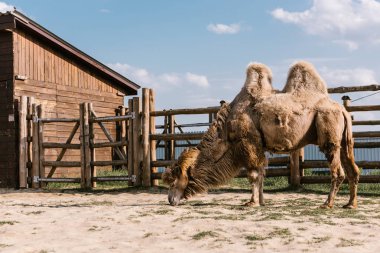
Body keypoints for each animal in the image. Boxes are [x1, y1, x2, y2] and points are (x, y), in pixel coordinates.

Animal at [163, 60, 360, 208]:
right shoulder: (259, 146)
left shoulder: (248, 143)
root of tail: (341, 109)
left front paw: (251, 202)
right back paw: (350, 204)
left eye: (173, 181)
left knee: (337, 171)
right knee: (353, 169)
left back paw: (327, 204)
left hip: (329, 131)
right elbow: (261, 173)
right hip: (344, 141)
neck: (226, 131)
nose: (170, 200)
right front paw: (262, 201)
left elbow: (253, 175)